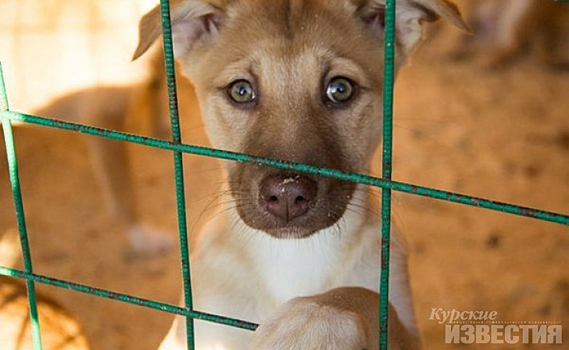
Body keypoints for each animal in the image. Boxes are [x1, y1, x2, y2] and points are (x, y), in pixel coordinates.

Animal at [132, 1, 466, 348]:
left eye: (340, 89)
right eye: (241, 91)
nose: (287, 194)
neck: (292, 256)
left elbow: (367, 297)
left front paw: (315, 317)